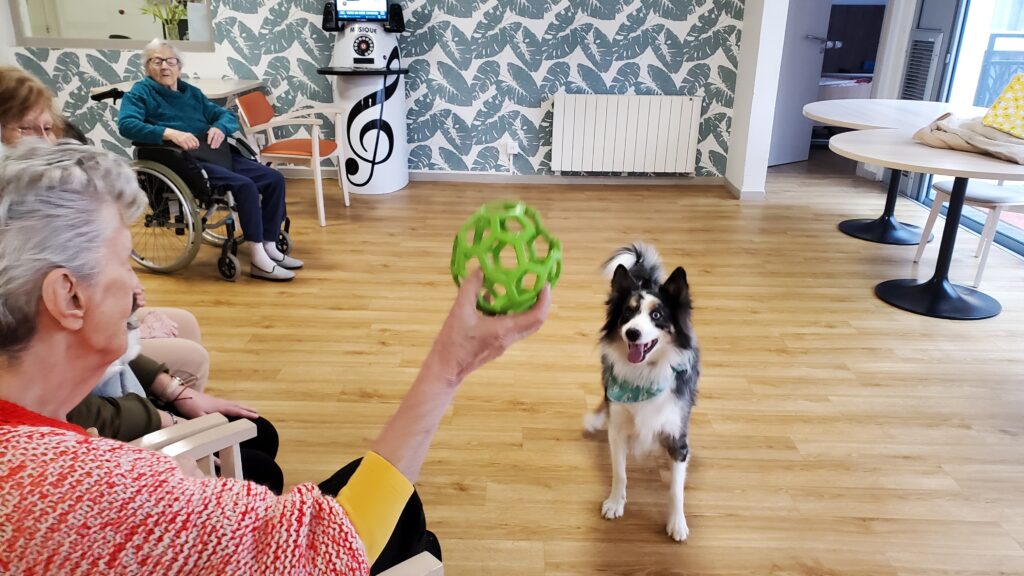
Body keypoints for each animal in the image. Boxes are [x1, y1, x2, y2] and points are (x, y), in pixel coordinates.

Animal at [584, 243, 699, 542]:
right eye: (627, 314)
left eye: (657, 316)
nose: (632, 333)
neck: (644, 375)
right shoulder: (618, 429)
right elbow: (620, 473)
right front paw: (615, 503)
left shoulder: (677, 436)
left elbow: (676, 489)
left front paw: (677, 523)